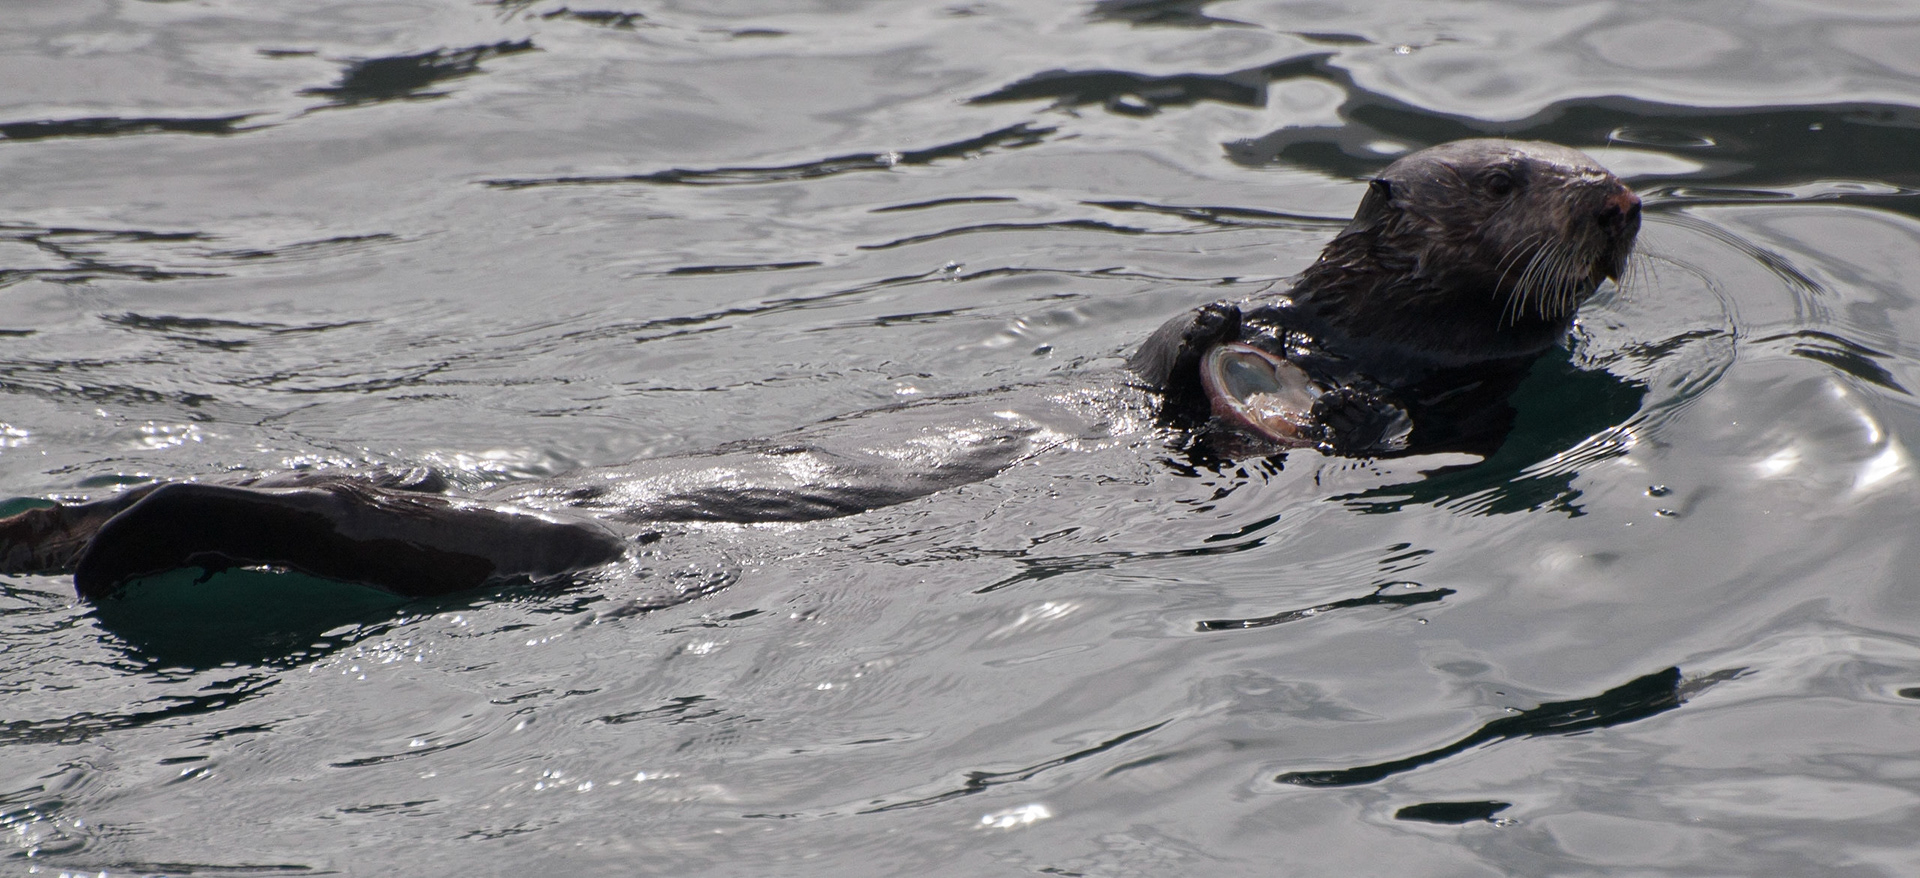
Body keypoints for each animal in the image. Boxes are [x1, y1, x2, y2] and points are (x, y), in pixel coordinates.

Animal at [0, 139, 1639, 601]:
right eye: (1513, 172)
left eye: (1570, 163)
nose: (1618, 197)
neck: (1350, 337)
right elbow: (1171, 362)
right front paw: (1205, 321)